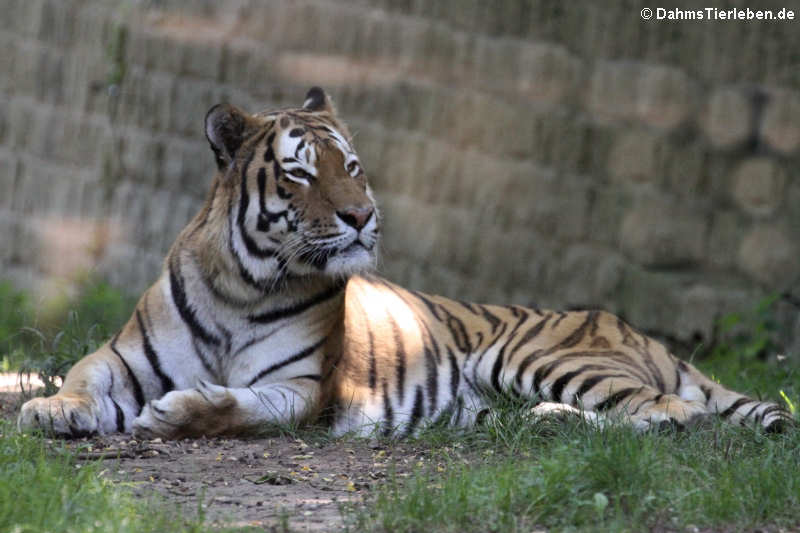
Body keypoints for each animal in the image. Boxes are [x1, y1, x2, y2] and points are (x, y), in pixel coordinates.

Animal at [17, 86, 792, 436]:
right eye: (300, 174)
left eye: (353, 166)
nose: (363, 215)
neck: (242, 286)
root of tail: (644, 335)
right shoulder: (121, 357)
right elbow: (83, 376)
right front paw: (50, 408)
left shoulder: (301, 388)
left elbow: (240, 408)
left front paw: (179, 413)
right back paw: (545, 420)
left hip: (540, 354)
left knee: (672, 413)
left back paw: (553, 418)